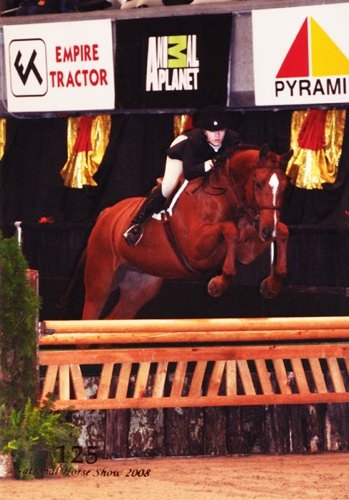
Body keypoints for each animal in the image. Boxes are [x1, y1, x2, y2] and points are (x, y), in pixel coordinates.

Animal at [81, 143, 294, 318]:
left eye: (285, 187)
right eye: (258, 184)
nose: (268, 231)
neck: (224, 196)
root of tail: (107, 213)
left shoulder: (246, 251)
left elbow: (283, 230)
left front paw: (272, 285)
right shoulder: (195, 248)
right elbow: (229, 230)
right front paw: (218, 284)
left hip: (139, 286)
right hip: (100, 282)